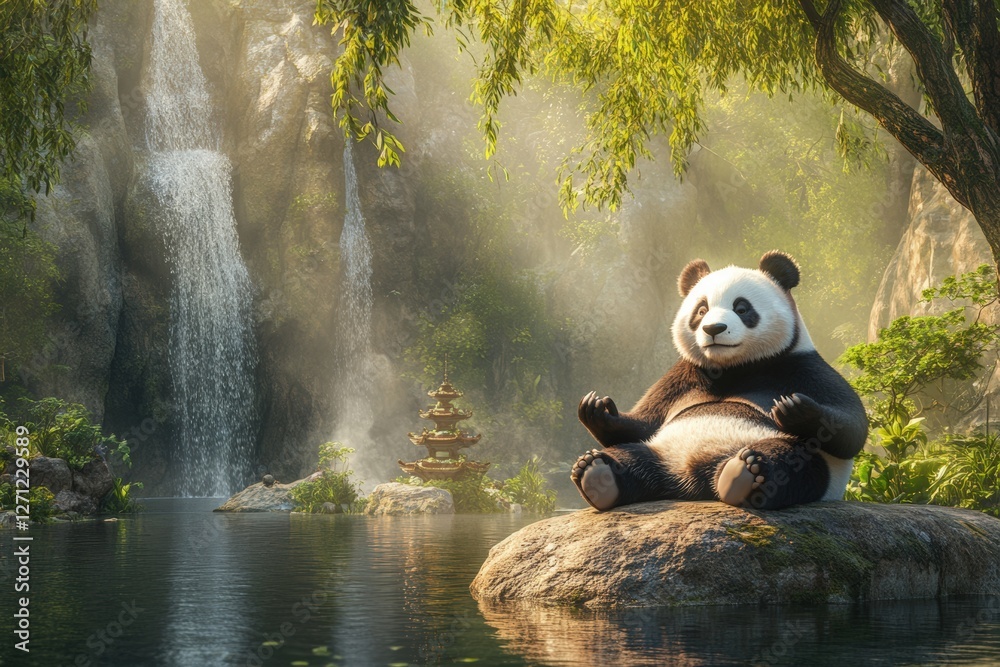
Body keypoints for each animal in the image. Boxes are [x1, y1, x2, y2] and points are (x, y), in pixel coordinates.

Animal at [571, 251, 868, 511]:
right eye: (701, 310)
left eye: (742, 308)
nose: (713, 328)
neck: (732, 368)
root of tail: (691, 477)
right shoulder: (683, 376)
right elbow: (643, 422)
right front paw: (596, 408)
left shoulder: (801, 366)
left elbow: (850, 429)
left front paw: (794, 408)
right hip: (659, 449)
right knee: (633, 455)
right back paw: (597, 473)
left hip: (805, 462)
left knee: (791, 463)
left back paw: (745, 472)